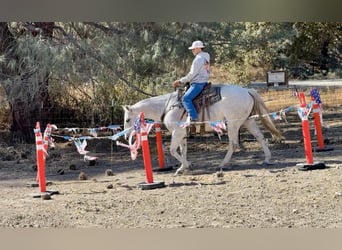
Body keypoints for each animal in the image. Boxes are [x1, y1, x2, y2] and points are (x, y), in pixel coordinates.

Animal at [122, 83, 280, 174]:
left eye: (127, 119)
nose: (125, 137)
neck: (167, 106)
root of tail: (247, 90)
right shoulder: (182, 134)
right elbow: (182, 149)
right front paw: (182, 168)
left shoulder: (177, 132)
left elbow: (172, 150)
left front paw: (186, 165)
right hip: (248, 121)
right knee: (260, 137)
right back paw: (267, 159)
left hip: (233, 124)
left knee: (233, 144)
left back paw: (222, 164)